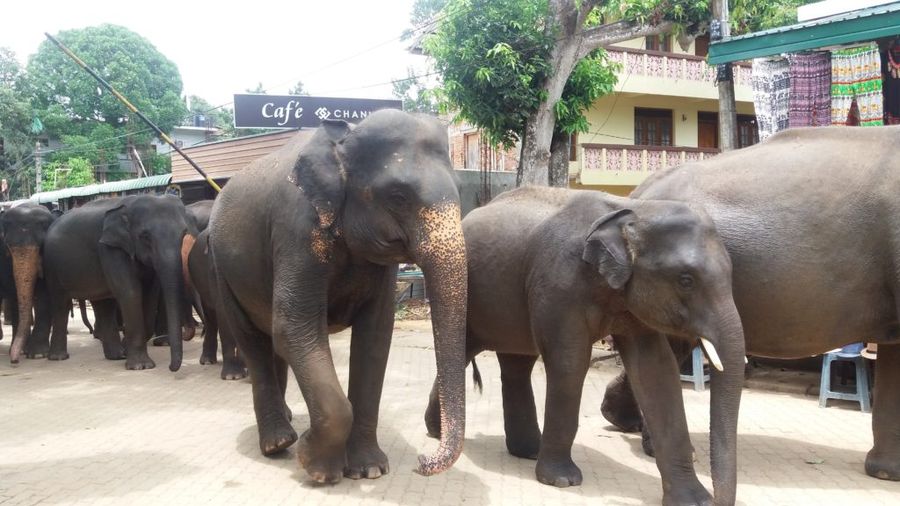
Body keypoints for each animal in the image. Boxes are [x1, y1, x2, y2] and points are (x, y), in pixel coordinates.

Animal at [40, 194, 193, 371]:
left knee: (103, 303)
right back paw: (59, 357)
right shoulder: (109, 248)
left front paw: (127, 351)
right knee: (61, 304)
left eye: (184, 233)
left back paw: (116, 355)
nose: (170, 367)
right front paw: (141, 366)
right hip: (52, 266)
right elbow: (131, 292)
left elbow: (150, 294)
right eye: (145, 236)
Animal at [208, 110, 468, 484]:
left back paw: (287, 424)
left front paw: (369, 470)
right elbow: (294, 326)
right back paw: (278, 443)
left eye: (460, 191)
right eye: (398, 197)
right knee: (253, 340)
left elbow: (375, 337)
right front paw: (318, 468)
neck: (343, 140)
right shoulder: (297, 229)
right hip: (221, 268)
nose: (422, 461)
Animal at [423, 186, 744, 505]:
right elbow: (570, 363)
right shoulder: (559, 287)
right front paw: (561, 481)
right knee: (466, 352)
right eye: (686, 280)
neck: (632, 211)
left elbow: (656, 371)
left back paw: (525, 450)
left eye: (731, 273)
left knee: (517, 365)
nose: (719, 499)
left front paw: (695, 500)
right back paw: (443, 434)